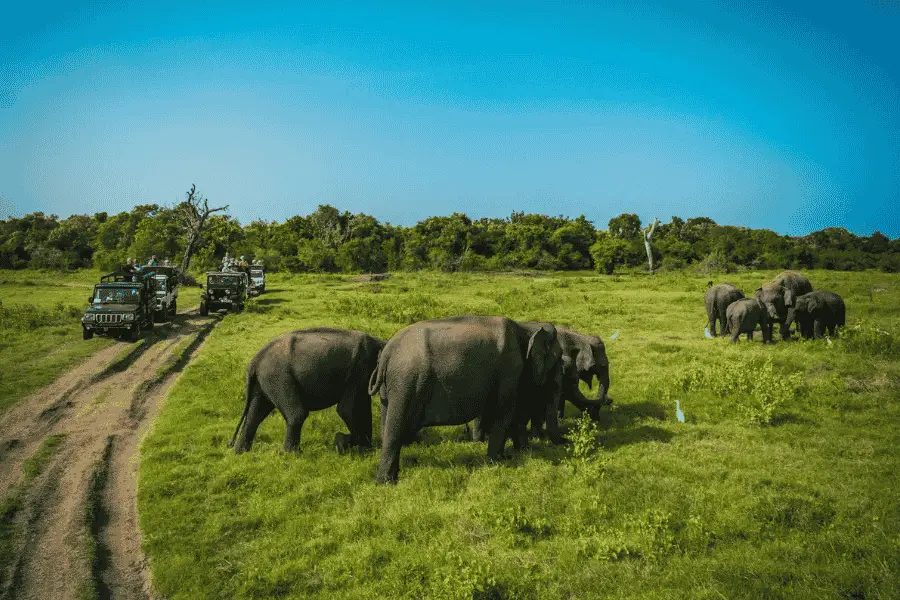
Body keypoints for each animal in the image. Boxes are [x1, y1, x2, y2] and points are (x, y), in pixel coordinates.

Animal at [229, 327, 386, 454]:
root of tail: (255, 360)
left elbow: (362, 407)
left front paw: (359, 447)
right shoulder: (359, 369)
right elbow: (347, 410)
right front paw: (349, 445)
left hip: (263, 381)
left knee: (255, 414)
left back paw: (241, 453)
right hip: (278, 376)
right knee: (297, 414)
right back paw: (293, 454)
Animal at [368, 315, 563, 484]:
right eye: (557, 359)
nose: (565, 443)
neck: (526, 326)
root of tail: (387, 351)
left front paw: (520, 453)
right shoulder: (509, 370)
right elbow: (505, 412)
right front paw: (498, 461)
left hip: (390, 387)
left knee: (387, 424)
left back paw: (389, 478)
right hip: (406, 381)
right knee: (395, 426)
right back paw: (387, 482)